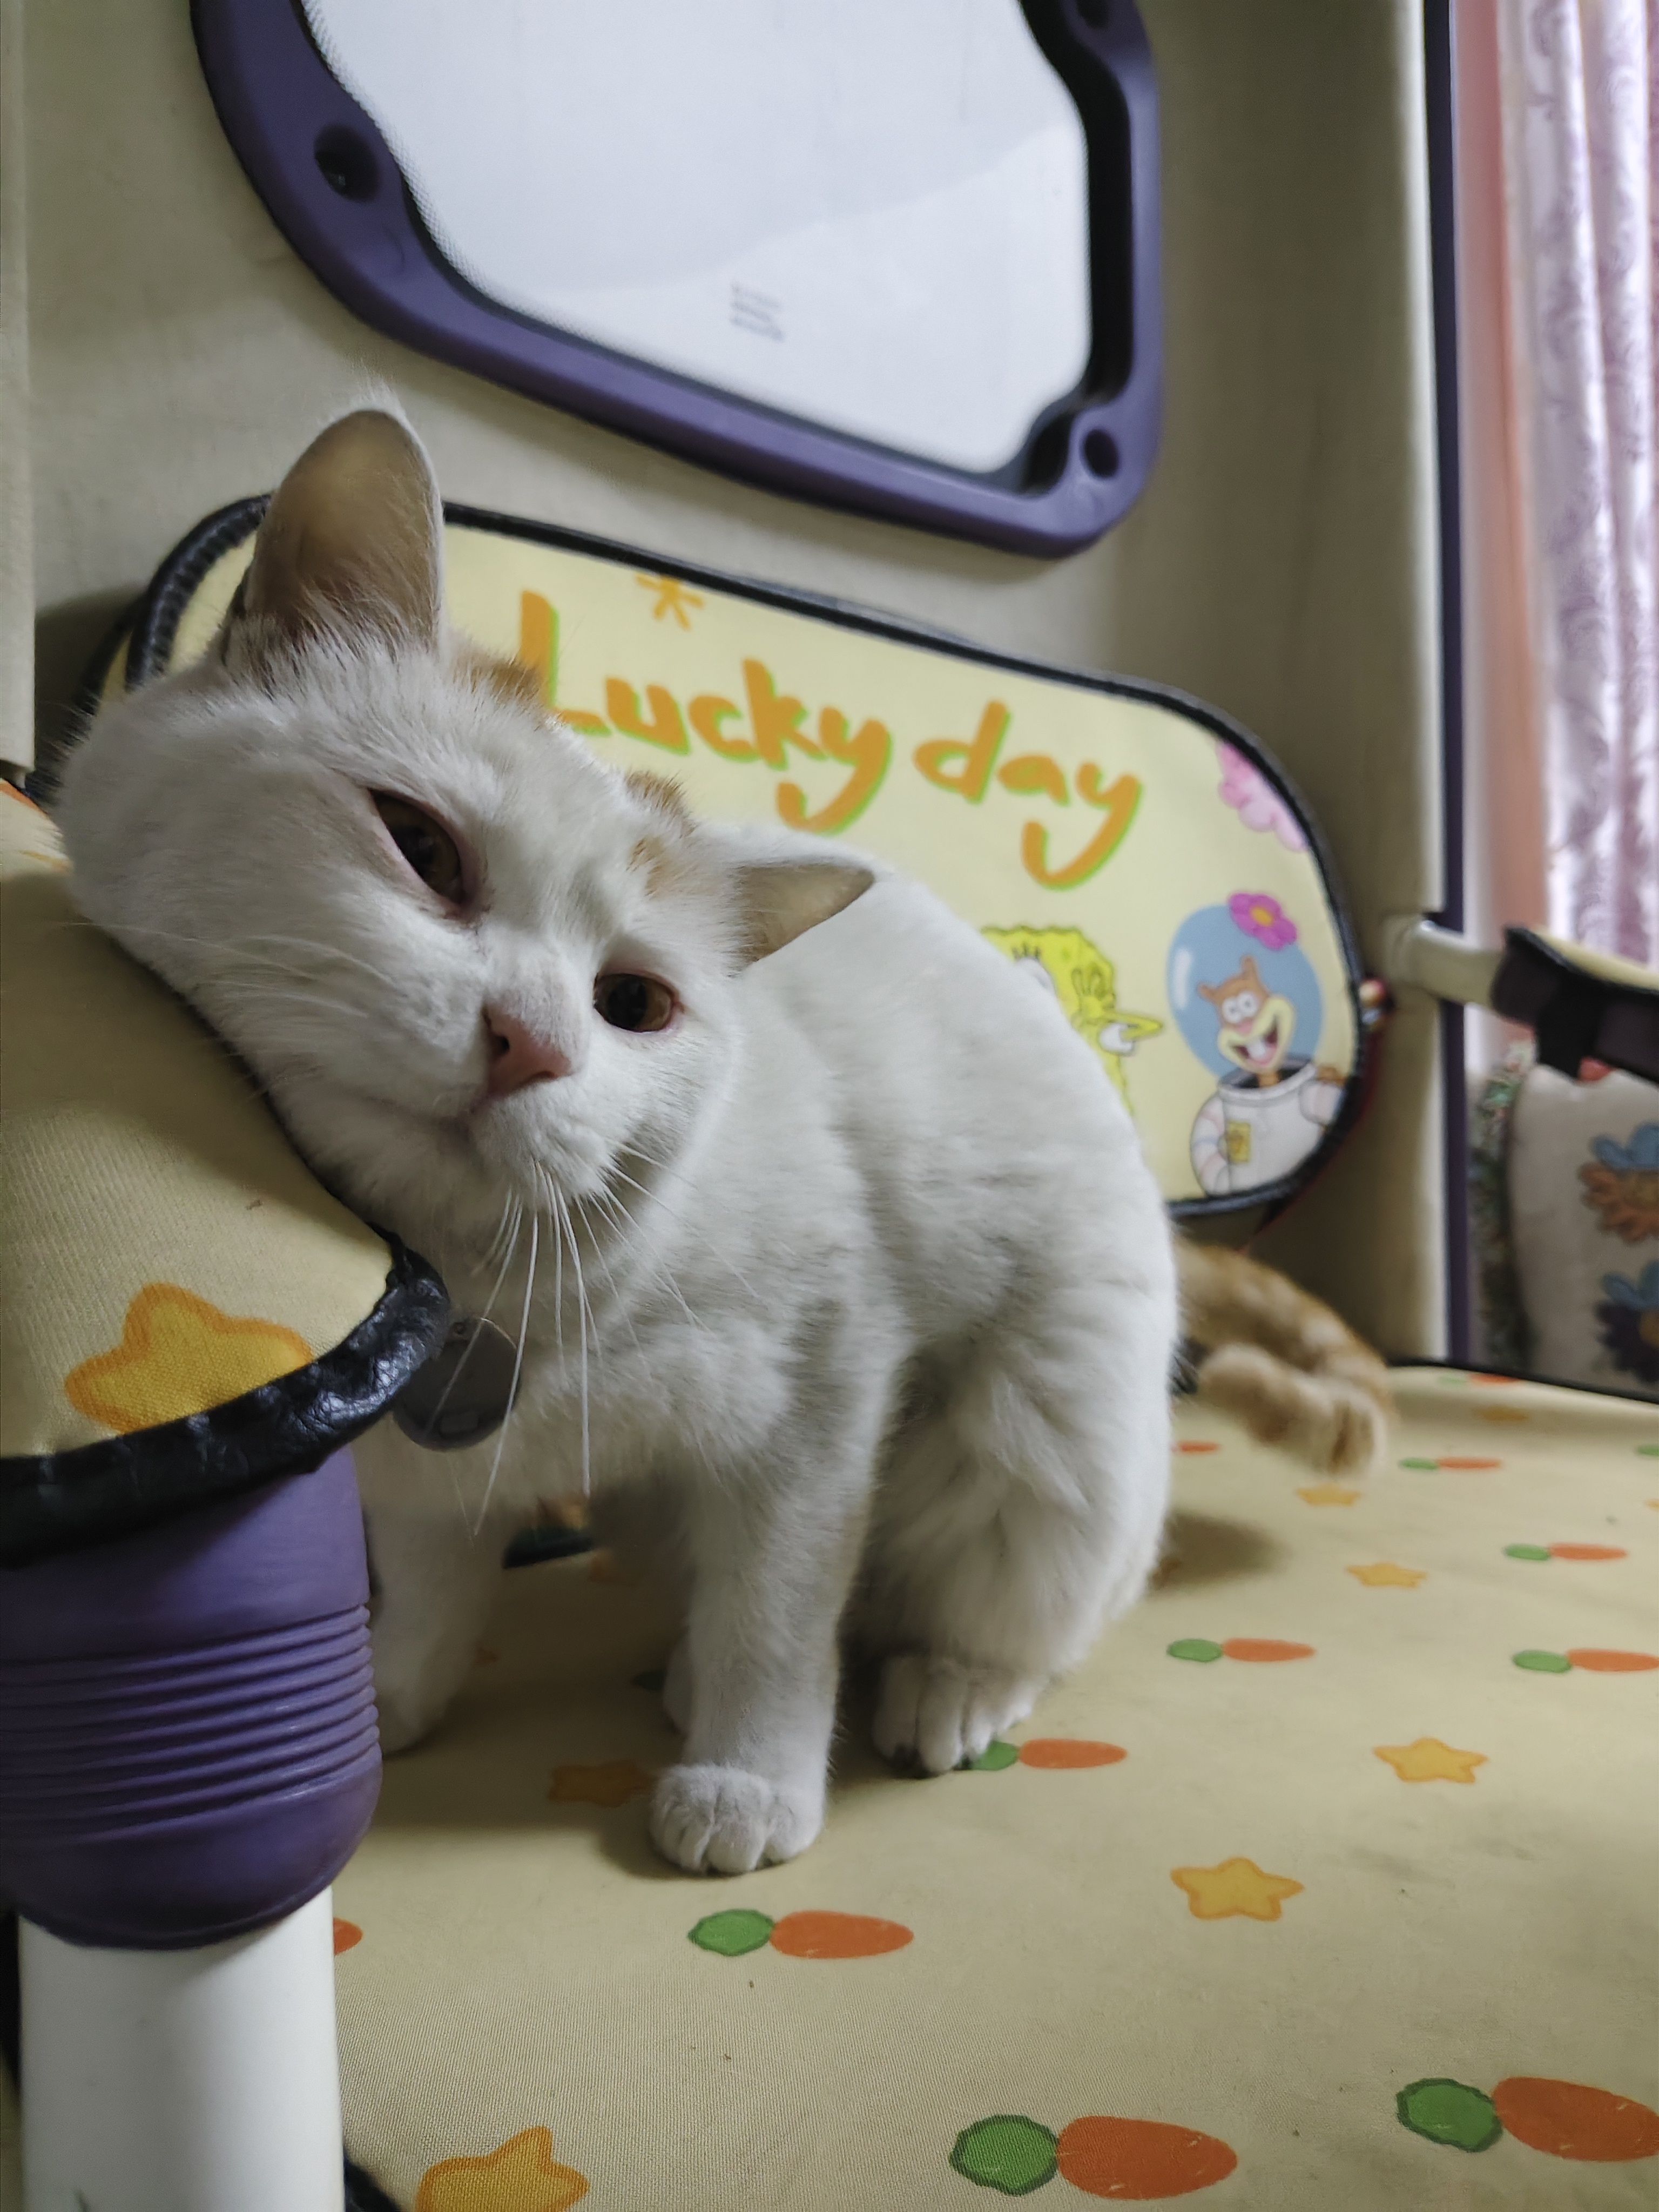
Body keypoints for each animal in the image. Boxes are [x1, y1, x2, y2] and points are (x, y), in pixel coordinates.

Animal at [58, 410, 1183, 1875]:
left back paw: (936, 1694)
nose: (528, 1042)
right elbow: (434, 1591)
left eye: (635, 1005)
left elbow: (778, 1620)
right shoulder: (427, 1477)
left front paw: (750, 1782)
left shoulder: (815, 1417)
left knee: (994, 1620)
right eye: (421, 848)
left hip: (1037, 1444)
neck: (467, 1289)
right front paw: (392, 1698)